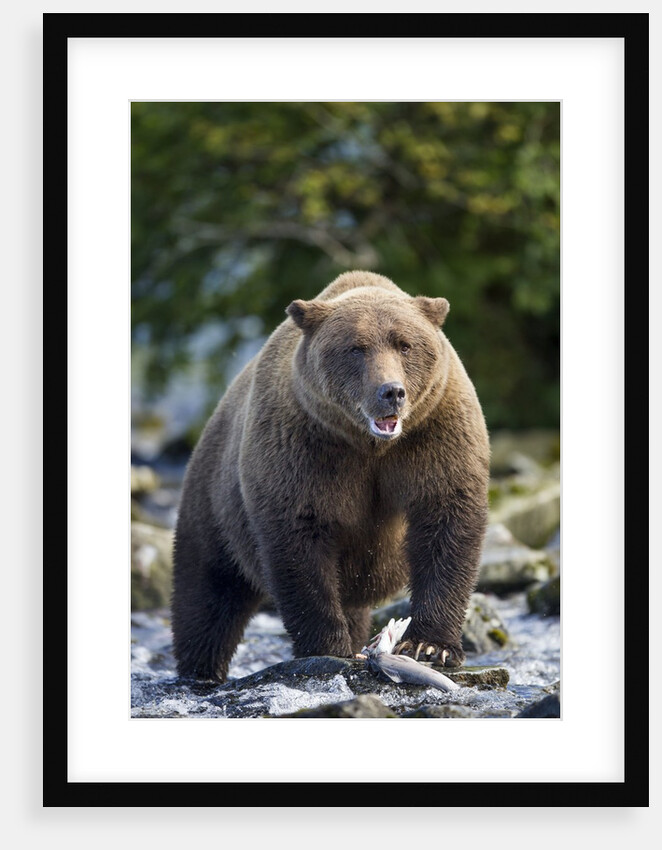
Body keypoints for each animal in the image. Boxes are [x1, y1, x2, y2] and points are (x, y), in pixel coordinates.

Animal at [171, 270, 490, 682]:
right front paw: (327, 647)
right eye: (356, 348)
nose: (391, 392)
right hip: (214, 503)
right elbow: (300, 542)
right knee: (207, 594)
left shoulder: (435, 434)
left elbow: (446, 522)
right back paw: (200, 669)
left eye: (405, 345)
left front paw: (430, 645)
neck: (369, 445)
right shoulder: (304, 449)